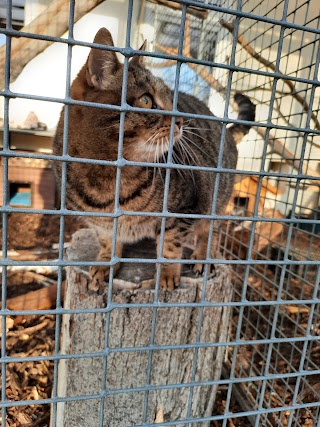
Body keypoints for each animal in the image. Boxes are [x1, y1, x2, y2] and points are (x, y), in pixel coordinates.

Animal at [53, 27, 256, 290]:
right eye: (146, 100)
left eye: (171, 99)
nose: (181, 119)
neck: (108, 178)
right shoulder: (100, 223)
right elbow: (108, 241)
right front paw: (105, 262)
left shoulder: (183, 208)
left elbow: (169, 245)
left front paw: (167, 275)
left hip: (217, 199)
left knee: (210, 231)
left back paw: (203, 256)